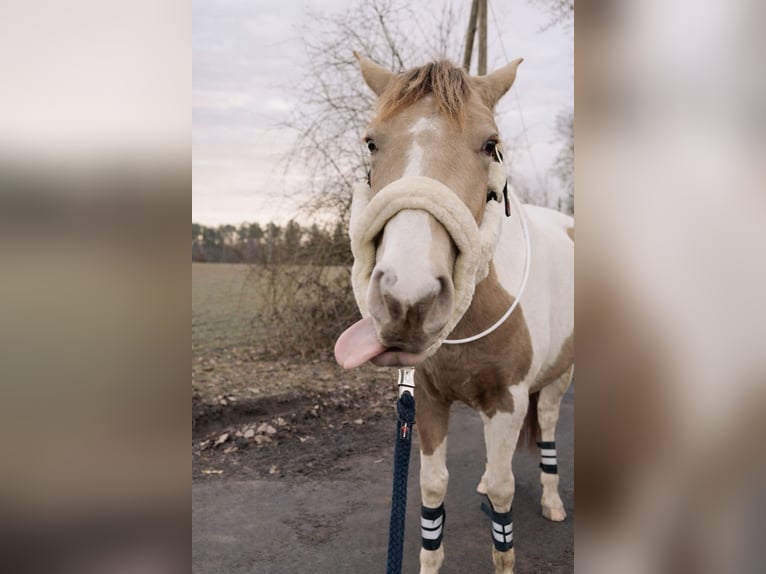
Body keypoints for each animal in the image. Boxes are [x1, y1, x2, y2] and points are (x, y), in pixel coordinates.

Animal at [334, 53, 574, 574]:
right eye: (371, 142)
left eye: (490, 144)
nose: (408, 300)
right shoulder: (427, 399)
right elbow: (432, 491)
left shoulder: (508, 400)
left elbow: (504, 501)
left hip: (558, 380)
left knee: (547, 428)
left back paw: (552, 499)